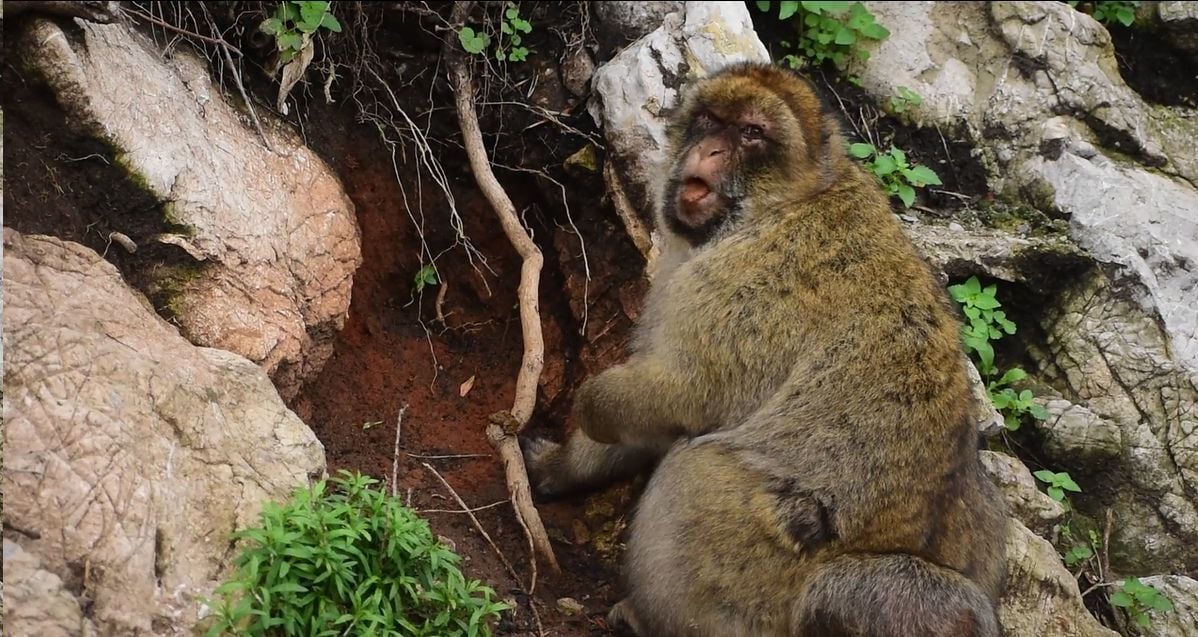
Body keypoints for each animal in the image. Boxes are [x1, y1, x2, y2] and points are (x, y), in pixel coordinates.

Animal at [522, 60, 1009, 636]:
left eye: (751, 132)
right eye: (710, 120)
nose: (709, 151)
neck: (788, 201)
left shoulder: (742, 284)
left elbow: (683, 397)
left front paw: (591, 406)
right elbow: (654, 422)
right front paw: (561, 467)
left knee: (697, 467)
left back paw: (648, 618)